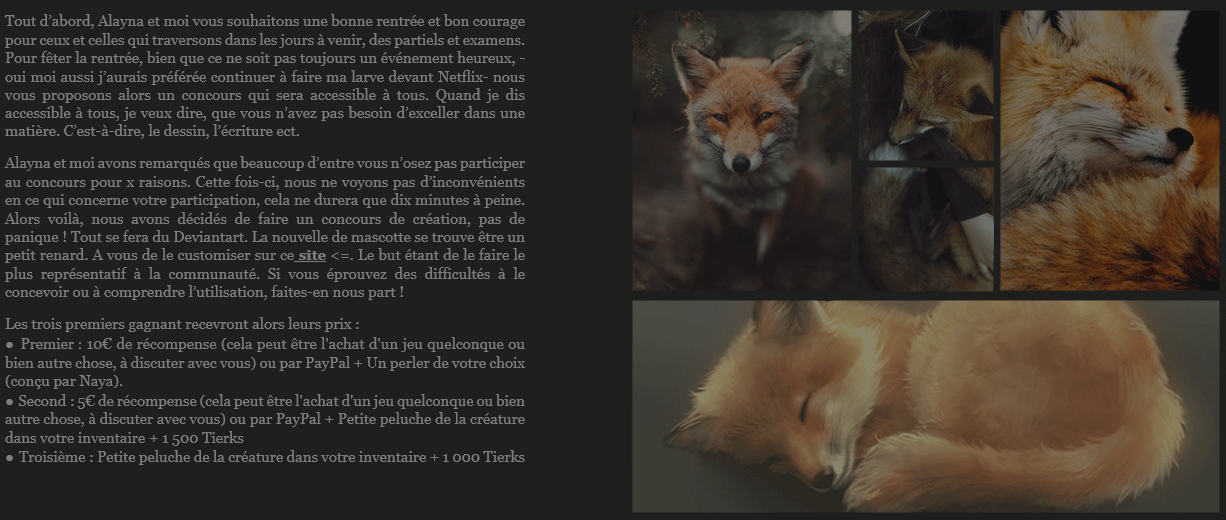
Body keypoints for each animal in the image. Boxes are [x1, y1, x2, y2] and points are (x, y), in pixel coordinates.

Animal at [672, 40, 820, 287]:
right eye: (721, 117)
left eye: (764, 116)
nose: (741, 163)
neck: (742, 192)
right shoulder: (706, 194)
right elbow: (713, 241)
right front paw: (704, 275)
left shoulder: (776, 203)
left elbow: (766, 256)